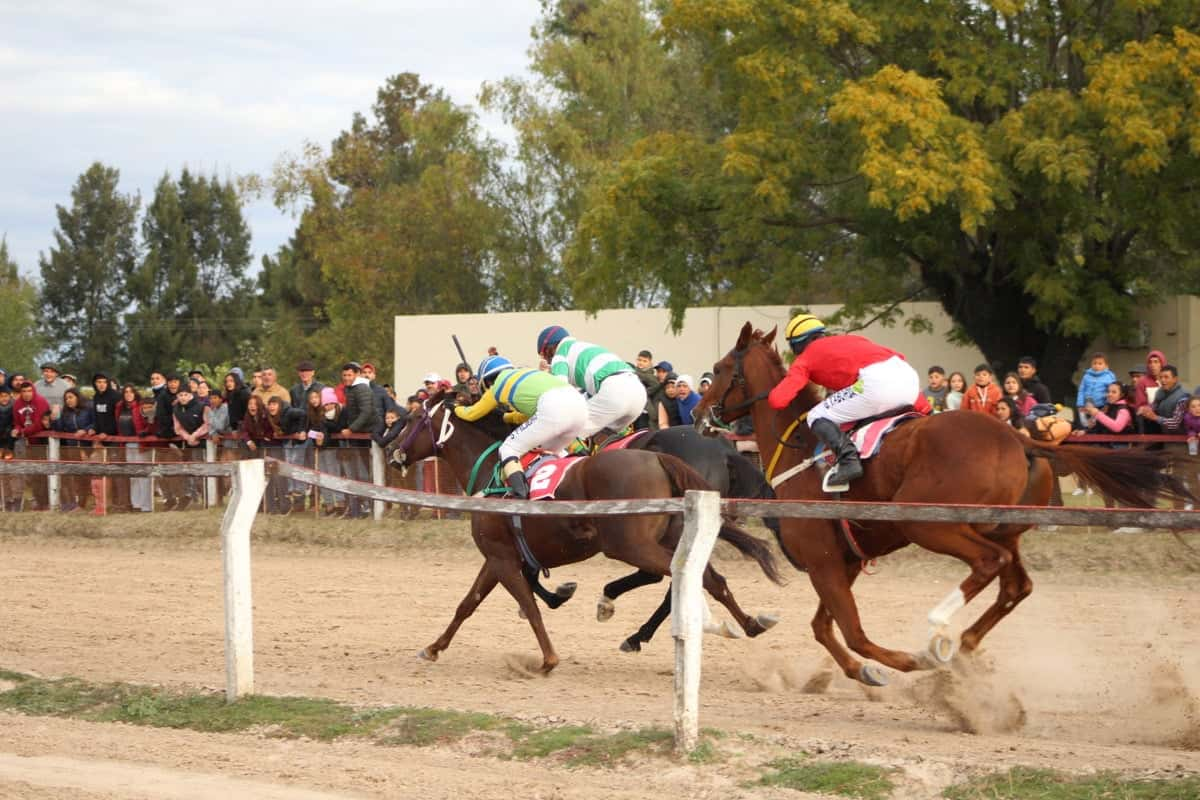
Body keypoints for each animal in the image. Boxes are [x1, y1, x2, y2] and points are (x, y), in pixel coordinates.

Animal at [388, 391, 782, 671]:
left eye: (412, 419)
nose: (392, 450)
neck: (492, 473)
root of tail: (660, 458)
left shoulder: (500, 556)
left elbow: (525, 603)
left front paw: (548, 659)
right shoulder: (504, 556)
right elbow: (470, 603)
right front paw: (434, 648)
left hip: (631, 544)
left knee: (679, 578)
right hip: (667, 537)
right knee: (705, 578)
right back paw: (748, 623)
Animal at [696, 321, 1190, 686]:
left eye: (719, 369)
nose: (699, 415)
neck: (797, 448)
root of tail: (1018, 437)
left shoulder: (823, 561)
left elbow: (852, 631)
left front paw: (903, 663)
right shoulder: (844, 560)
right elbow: (824, 628)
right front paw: (865, 672)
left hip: (930, 525)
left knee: (987, 564)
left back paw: (938, 632)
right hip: (1004, 529)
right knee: (1016, 585)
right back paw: (966, 645)